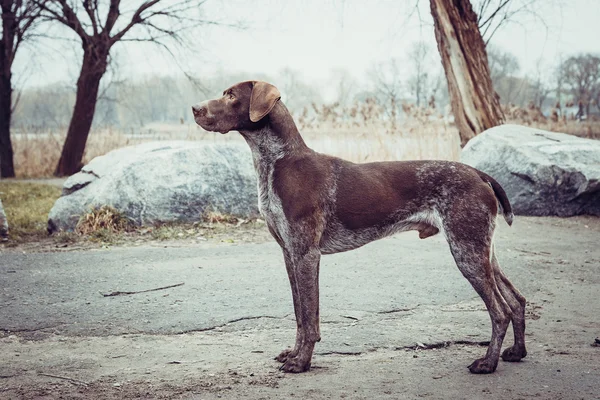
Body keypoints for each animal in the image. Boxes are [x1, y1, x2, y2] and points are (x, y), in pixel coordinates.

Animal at [192, 80, 524, 376]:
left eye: (231, 95)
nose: (195, 108)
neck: (277, 161)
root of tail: (480, 174)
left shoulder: (306, 254)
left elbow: (309, 318)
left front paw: (301, 363)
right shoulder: (289, 254)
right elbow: (299, 314)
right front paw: (294, 353)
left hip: (467, 252)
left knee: (500, 312)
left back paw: (488, 363)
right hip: (481, 251)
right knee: (517, 301)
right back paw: (516, 352)